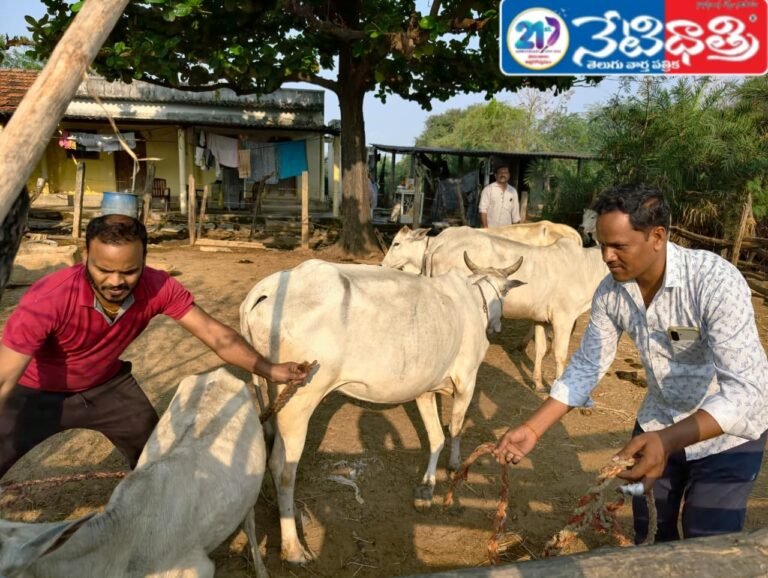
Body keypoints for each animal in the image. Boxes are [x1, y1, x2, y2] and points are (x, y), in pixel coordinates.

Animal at [239, 255, 524, 564]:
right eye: (504, 293)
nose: (495, 326)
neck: (474, 297)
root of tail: (267, 288)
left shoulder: (425, 387)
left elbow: (436, 437)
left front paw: (426, 488)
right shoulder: (466, 380)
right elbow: (456, 428)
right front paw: (454, 465)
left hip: (268, 391)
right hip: (299, 401)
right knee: (282, 468)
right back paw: (293, 549)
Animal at [382, 226, 608, 391]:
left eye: (396, 243)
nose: (382, 265)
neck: (585, 267)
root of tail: (440, 242)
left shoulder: (541, 318)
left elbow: (541, 349)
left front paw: (537, 383)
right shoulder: (563, 317)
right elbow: (561, 355)